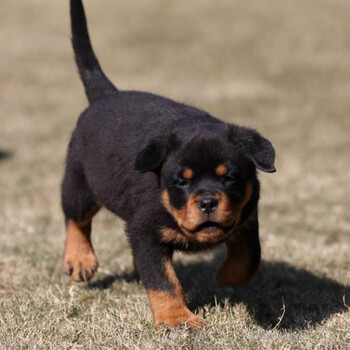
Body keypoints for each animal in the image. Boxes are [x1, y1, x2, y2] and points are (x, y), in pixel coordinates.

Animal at [62, 0, 276, 330]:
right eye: (181, 182)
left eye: (230, 178)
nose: (208, 202)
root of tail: (106, 95)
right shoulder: (146, 231)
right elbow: (163, 280)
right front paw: (177, 320)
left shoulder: (247, 216)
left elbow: (250, 259)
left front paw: (227, 275)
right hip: (79, 182)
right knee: (76, 218)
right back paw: (79, 258)